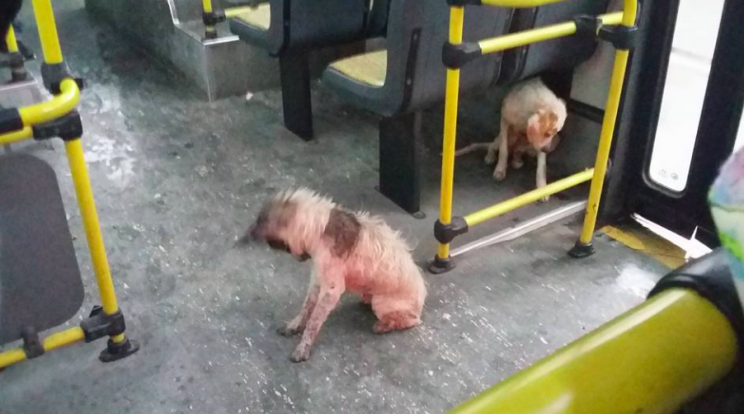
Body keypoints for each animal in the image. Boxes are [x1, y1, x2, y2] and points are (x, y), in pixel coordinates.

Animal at [247, 188, 428, 362]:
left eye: (263, 223)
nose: (250, 235)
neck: (318, 227)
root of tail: (422, 297)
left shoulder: (331, 290)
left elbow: (313, 322)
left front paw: (303, 348)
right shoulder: (317, 278)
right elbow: (306, 307)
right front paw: (294, 325)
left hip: (383, 304)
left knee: (412, 320)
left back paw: (384, 325)